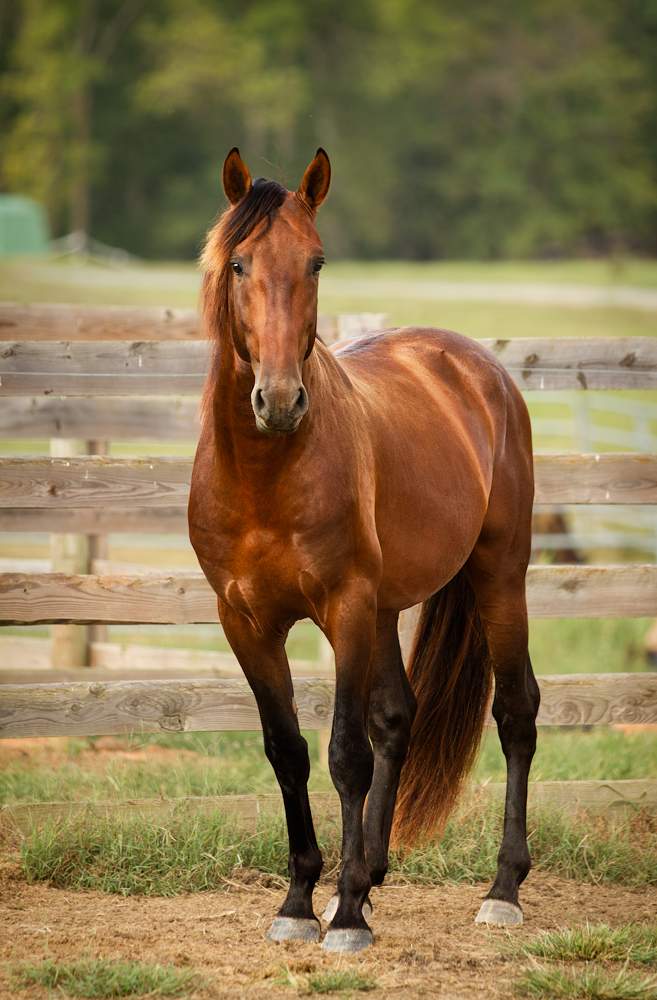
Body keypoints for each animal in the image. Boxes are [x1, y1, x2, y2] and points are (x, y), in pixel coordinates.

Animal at [188, 146, 540, 952]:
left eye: (315, 263)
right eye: (239, 264)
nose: (279, 399)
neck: (266, 474)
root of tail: (478, 368)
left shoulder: (343, 607)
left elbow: (343, 753)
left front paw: (343, 915)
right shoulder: (244, 621)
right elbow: (287, 750)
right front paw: (299, 901)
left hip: (497, 577)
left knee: (515, 713)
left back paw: (500, 889)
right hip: (385, 609)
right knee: (398, 717)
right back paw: (371, 874)